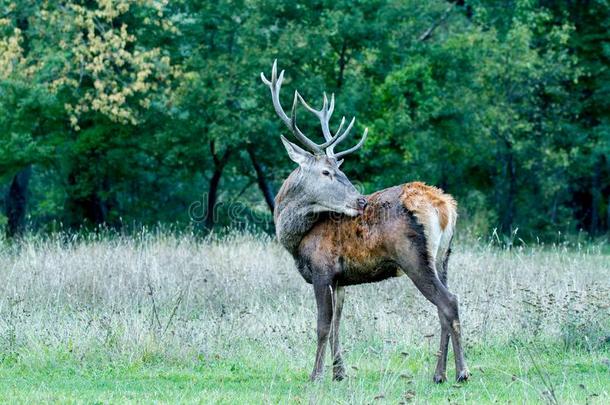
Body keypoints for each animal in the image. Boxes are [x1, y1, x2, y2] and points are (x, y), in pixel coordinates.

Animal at [258, 60, 468, 382]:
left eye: (338, 170)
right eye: (327, 172)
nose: (360, 201)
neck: (297, 238)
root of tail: (444, 207)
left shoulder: (322, 268)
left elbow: (322, 325)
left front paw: (315, 375)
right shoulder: (341, 279)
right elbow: (338, 324)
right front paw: (339, 372)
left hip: (413, 256)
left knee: (449, 302)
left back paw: (460, 372)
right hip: (444, 257)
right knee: (443, 306)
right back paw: (440, 373)